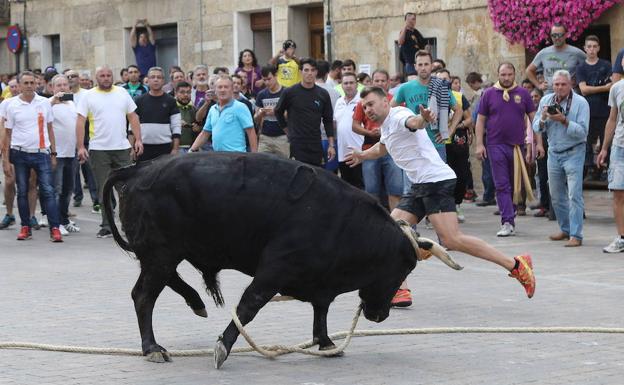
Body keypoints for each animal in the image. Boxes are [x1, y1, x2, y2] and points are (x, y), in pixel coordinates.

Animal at [103, 152, 424, 368]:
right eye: (403, 268)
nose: (381, 315)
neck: (345, 222)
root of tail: (139, 169)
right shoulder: (275, 269)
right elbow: (249, 305)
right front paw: (222, 347)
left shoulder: (318, 280)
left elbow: (321, 309)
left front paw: (326, 342)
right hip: (162, 253)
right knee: (144, 295)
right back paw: (152, 347)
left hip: (164, 254)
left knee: (162, 281)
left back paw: (196, 303)